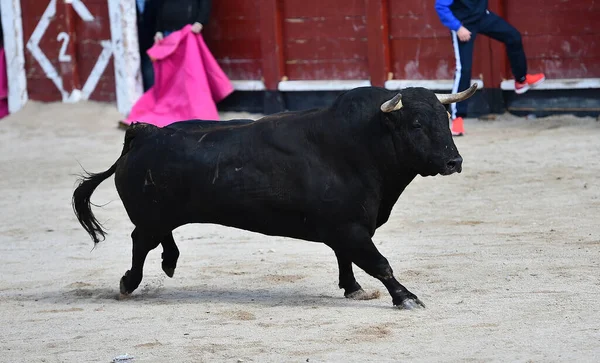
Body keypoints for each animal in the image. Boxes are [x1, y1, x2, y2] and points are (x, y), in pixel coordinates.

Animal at [74, 83, 478, 310]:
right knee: (141, 241)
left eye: (445, 120)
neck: (362, 143)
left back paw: (169, 263)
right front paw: (406, 297)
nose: (453, 161)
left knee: (159, 237)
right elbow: (379, 263)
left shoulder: (346, 228)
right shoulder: (349, 227)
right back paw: (129, 283)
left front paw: (353, 289)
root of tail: (144, 133)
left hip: (164, 213)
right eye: (416, 125)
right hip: (151, 214)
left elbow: (347, 260)